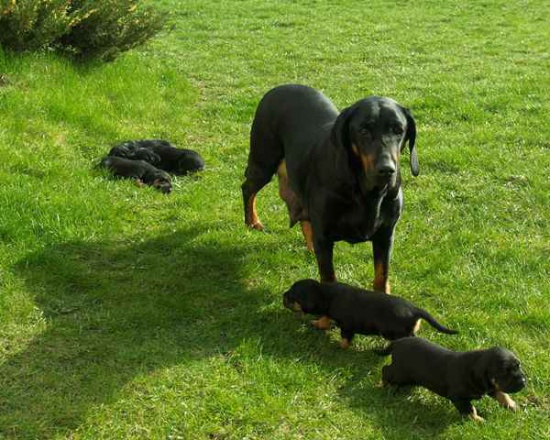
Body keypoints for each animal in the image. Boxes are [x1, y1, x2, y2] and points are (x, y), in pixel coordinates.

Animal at [242, 84, 418, 291]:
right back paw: (252, 221)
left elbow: (381, 278)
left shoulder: (385, 235)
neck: (366, 193)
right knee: (247, 188)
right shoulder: (325, 238)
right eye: (364, 130)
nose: (387, 169)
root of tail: (276, 88)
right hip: (263, 162)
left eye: (399, 130)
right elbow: (328, 279)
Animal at [282, 279, 456, 348]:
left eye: (292, 297)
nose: (283, 295)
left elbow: (345, 339)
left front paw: (339, 346)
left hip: (395, 332)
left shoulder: (347, 326)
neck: (326, 294)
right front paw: (317, 323)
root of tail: (414, 309)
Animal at [378, 337, 526, 421]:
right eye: (504, 372)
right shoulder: (458, 397)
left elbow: (503, 395)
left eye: (519, 365)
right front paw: (478, 420)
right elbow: (470, 410)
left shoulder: (491, 386)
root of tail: (397, 342)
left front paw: (513, 406)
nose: (523, 381)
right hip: (401, 374)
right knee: (385, 370)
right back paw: (384, 385)